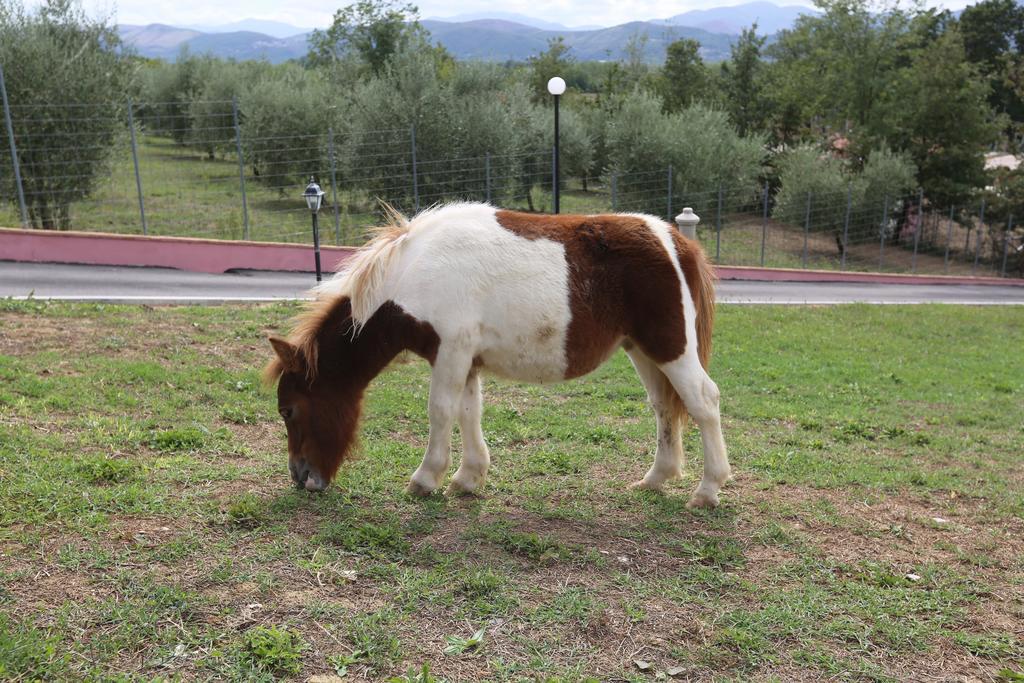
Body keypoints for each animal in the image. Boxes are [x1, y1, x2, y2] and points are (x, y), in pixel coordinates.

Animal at [264, 201, 729, 507]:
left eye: (288, 410)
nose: (301, 478)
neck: (413, 273)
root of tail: (676, 242)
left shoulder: (450, 351)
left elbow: (441, 410)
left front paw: (425, 478)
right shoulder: (466, 358)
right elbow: (468, 412)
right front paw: (468, 477)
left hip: (670, 347)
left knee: (703, 401)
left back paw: (707, 490)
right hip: (643, 350)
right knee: (664, 405)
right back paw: (655, 479)